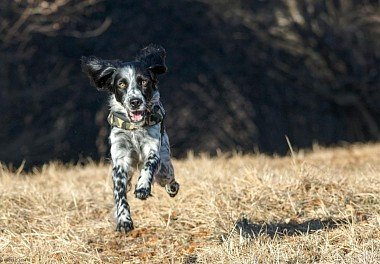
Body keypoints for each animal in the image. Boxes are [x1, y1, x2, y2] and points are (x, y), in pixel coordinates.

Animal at [80, 44, 180, 232]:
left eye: (144, 81)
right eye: (121, 83)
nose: (135, 101)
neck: (135, 128)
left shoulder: (153, 148)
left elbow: (149, 164)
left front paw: (142, 187)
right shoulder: (120, 158)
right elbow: (119, 193)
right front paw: (124, 221)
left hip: (164, 168)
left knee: (168, 177)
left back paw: (172, 187)